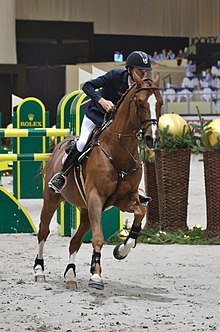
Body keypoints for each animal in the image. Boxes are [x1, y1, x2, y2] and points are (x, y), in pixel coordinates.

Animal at [33, 70, 162, 290]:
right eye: (140, 101)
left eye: (160, 102)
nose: (151, 138)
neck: (119, 150)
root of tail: (60, 145)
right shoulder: (96, 198)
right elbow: (98, 238)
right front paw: (96, 276)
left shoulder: (124, 199)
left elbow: (140, 212)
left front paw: (121, 250)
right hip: (52, 200)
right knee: (43, 232)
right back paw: (39, 270)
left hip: (85, 210)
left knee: (75, 241)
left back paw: (70, 275)